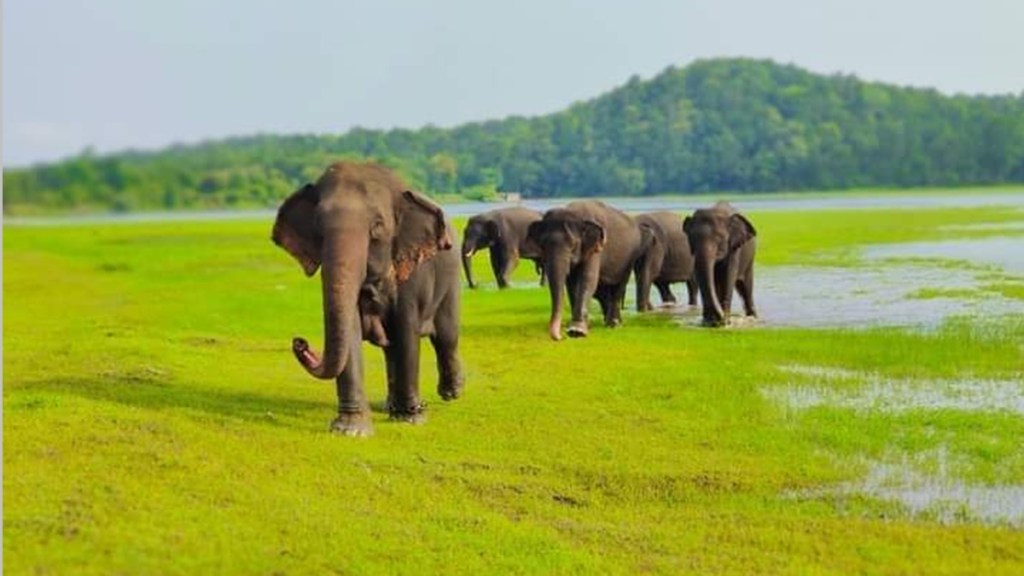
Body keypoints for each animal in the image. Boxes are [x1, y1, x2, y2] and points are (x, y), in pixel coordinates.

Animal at [272, 158, 464, 432]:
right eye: (318, 227)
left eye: (377, 226)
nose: (299, 342)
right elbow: (350, 330)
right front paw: (350, 429)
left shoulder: (411, 272)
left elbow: (407, 331)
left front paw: (412, 418)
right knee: (391, 349)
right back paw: (390, 405)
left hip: (451, 279)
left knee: (446, 336)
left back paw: (451, 392)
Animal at [528, 199, 638, 338]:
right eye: (542, 245)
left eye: (573, 245)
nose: (560, 337)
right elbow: (571, 284)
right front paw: (575, 328)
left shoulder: (596, 248)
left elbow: (587, 279)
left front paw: (576, 331)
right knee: (604, 292)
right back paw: (610, 322)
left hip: (629, 259)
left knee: (619, 287)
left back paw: (614, 324)